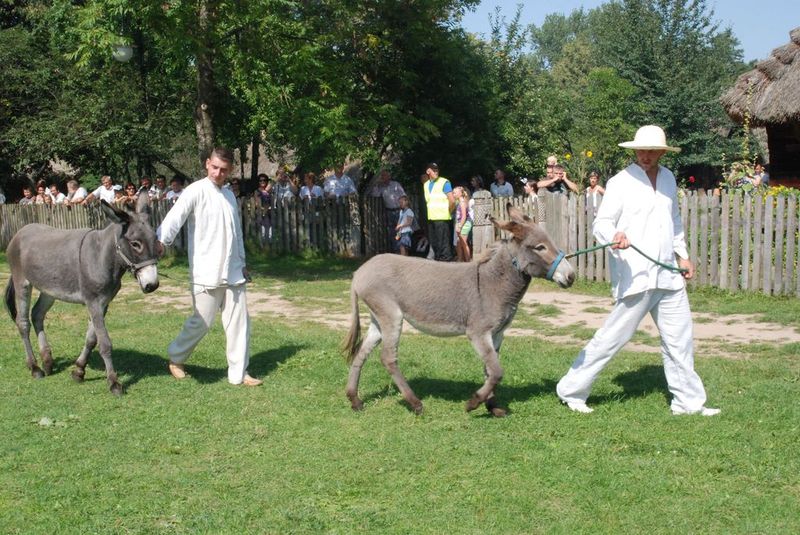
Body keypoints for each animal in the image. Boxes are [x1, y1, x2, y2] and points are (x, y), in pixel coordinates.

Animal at [5, 196, 160, 395]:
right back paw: (35, 368)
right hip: (22, 282)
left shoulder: (103, 303)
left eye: (155, 239)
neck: (102, 256)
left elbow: (92, 339)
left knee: (37, 314)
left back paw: (47, 361)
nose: (152, 285)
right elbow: (105, 343)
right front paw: (114, 382)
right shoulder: (93, 301)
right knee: (23, 323)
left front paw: (79, 371)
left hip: (49, 289)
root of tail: (21, 231)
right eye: (135, 244)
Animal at [343, 204, 575, 416]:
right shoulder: (478, 333)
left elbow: (490, 370)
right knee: (388, 358)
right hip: (391, 315)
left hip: (378, 319)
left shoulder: (497, 334)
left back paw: (355, 400)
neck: (494, 283)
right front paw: (474, 403)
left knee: (361, 354)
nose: (571, 276)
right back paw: (415, 404)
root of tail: (359, 272)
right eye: (540, 247)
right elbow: (497, 372)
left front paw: (493, 407)